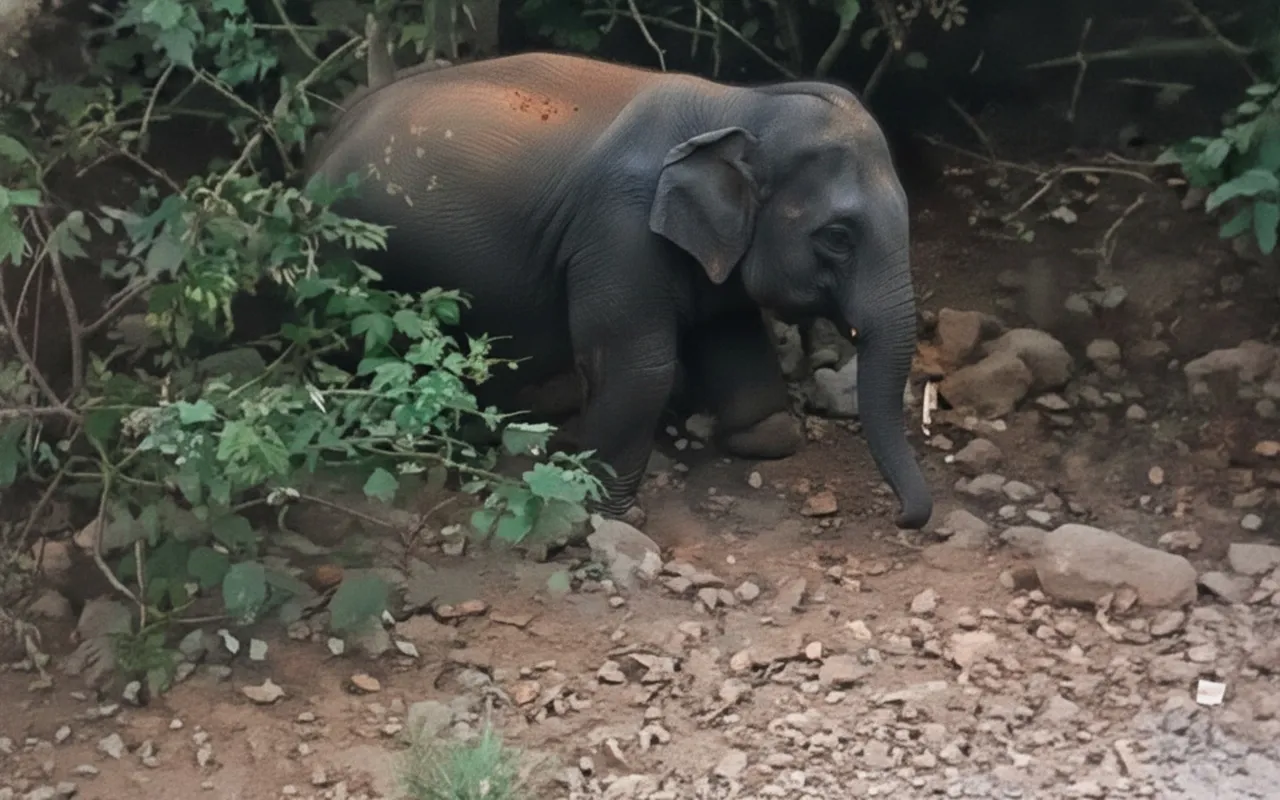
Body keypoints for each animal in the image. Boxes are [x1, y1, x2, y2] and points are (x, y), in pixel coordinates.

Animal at [304, 51, 933, 530]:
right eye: (837, 238)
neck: (740, 104)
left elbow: (729, 330)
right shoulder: (617, 231)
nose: (902, 518)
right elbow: (640, 366)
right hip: (356, 264)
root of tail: (324, 144)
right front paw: (604, 509)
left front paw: (767, 434)